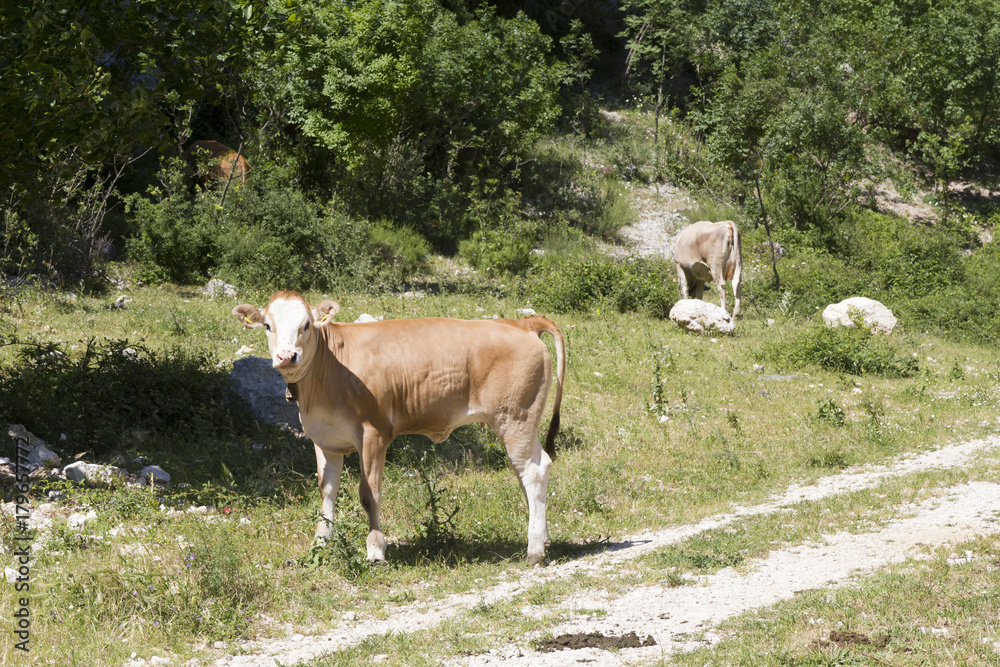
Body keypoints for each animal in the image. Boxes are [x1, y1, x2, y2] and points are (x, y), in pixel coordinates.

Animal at [233, 291, 566, 566]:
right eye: (268, 326)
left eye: (306, 325)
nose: (286, 356)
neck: (328, 369)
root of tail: (520, 323)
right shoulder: (325, 440)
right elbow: (326, 493)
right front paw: (318, 546)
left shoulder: (373, 434)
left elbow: (369, 494)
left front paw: (375, 551)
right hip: (523, 422)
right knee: (536, 469)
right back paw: (543, 537)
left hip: (515, 418)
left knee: (532, 472)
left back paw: (535, 550)